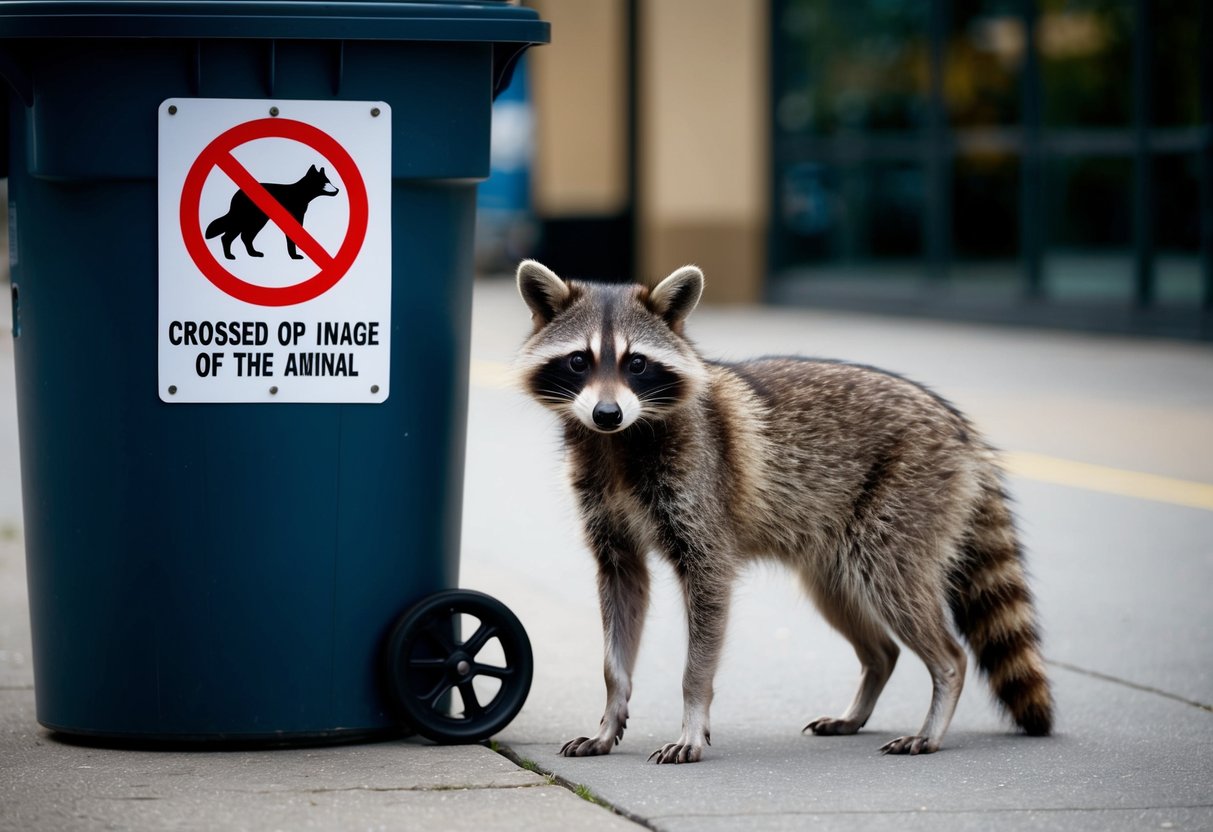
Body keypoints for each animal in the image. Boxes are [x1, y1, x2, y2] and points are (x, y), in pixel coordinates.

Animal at [515, 260, 1053, 763]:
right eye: (579, 361)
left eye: (638, 364)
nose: (607, 414)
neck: (618, 443)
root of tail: (962, 430)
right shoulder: (610, 524)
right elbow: (619, 613)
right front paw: (610, 713)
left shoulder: (702, 500)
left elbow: (704, 625)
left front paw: (692, 719)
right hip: (833, 557)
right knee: (871, 635)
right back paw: (867, 685)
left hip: (903, 504)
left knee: (909, 601)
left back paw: (940, 691)